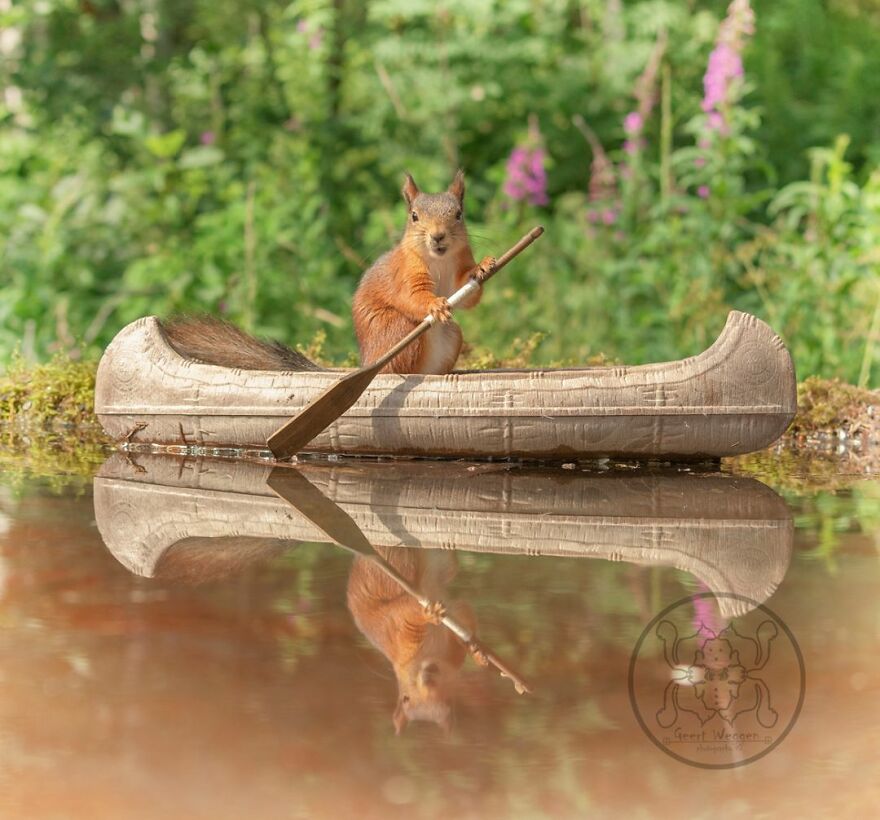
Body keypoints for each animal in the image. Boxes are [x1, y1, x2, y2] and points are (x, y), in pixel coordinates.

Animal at [346, 546, 487, 734]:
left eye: (448, 699)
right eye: (406, 698)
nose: (429, 676)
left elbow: (462, 635)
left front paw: (477, 654)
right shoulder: (399, 623)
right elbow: (411, 611)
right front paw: (428, 615)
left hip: (438, 566)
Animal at [352, 170, 495, 374]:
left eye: (459, 214)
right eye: (414, 216)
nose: (438, 236)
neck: (439, 260)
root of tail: (369, 362)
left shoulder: (458, 272)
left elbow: (464, 296)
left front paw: (481, 267)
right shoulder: (405, 271)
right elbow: (411, 295)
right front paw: (436, 305)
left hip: (453, 335)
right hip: (400, 329)